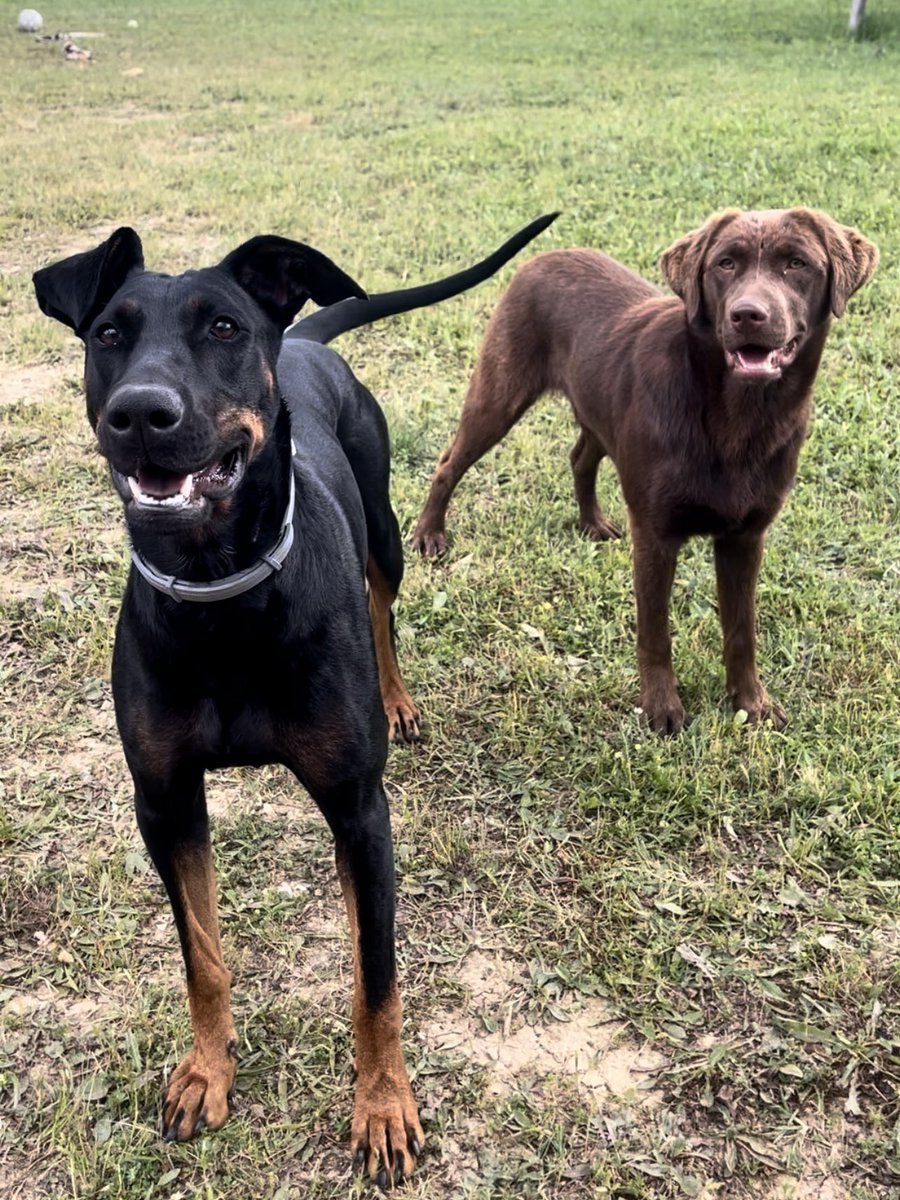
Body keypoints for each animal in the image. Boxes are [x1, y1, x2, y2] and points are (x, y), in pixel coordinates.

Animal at [33, 213, 556, 1180]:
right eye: (109, 334)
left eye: (224, 328)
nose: (141, 413)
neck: (221, 594)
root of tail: (307, 338)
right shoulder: (164, 802)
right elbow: (201, 954)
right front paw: (208, 1070)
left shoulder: (359, 809)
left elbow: (376, 977)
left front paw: (383, 1106)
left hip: (385, 528)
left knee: (384, 603)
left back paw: (398, 698)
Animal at [415, 210, 883, 729]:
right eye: (725, 264)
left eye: (796, 263)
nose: (748, 315)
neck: (737, 417)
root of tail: (546, 255)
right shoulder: (655, 535)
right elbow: (655, 633)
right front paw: (662, 708)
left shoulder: (745, 537)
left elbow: (742, 631)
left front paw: (751, 702)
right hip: (498, 396)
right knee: (448, 463)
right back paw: (429, 534)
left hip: (598, 415)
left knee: (580, 457)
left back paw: (592, 523)